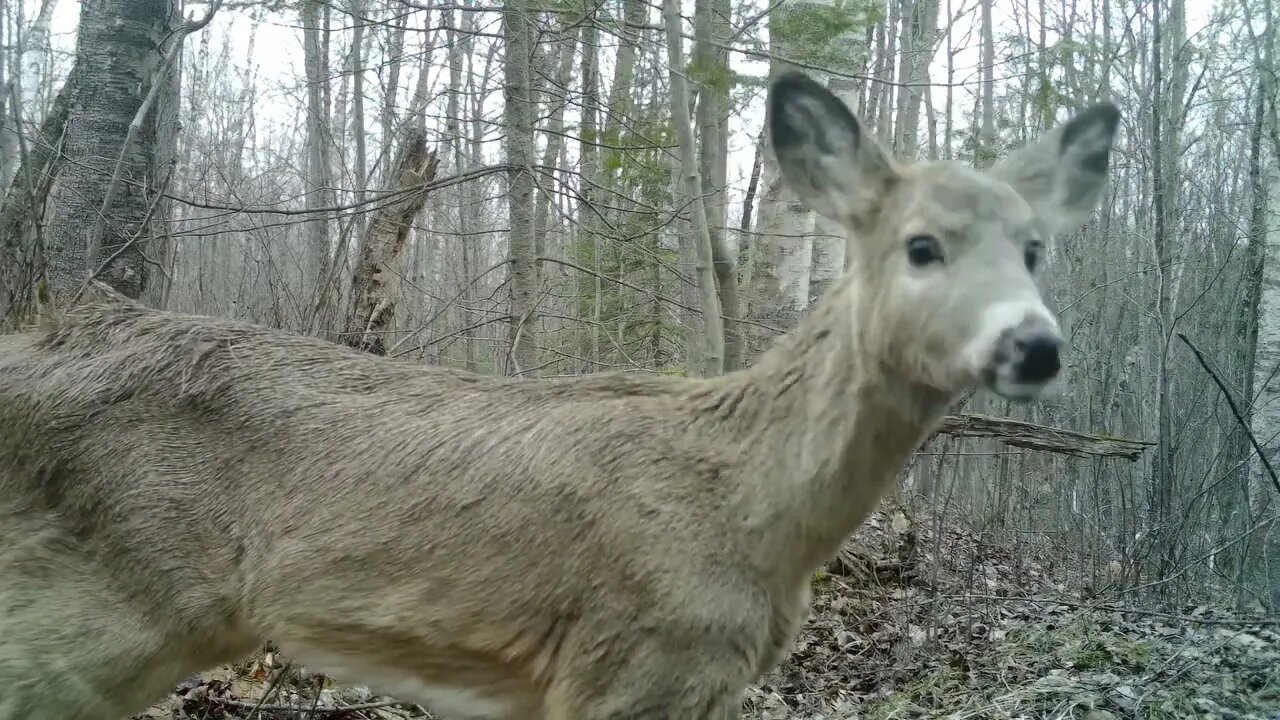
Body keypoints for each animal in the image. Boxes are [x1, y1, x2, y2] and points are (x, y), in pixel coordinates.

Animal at [0, 71, 1116, 717]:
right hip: (106, 598)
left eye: (1034, 248)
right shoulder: (627, 665)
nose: (1034, 345)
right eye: (921, 246)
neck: (751, 507)